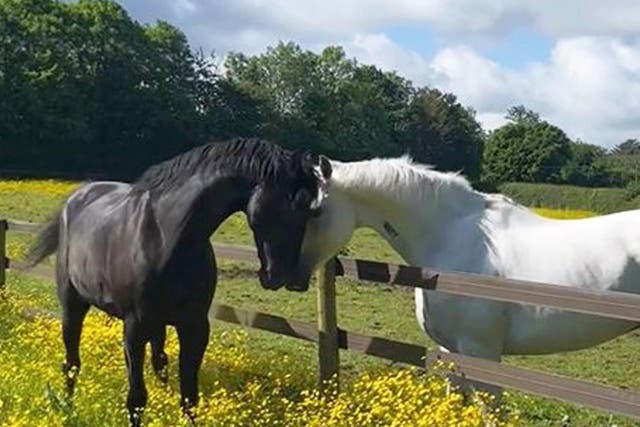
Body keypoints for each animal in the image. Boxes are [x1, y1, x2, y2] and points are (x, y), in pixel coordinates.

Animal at [25, 139, 330, 426]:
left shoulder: (194, 326)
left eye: (311, 210)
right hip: (73, 306)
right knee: (71, 364)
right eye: (289, 204)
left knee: (158, 362)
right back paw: (67, 409)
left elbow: (189, 397)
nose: (284, 276)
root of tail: (76, 198)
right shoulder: (135, 326)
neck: (166, 236)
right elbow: (136, 398)